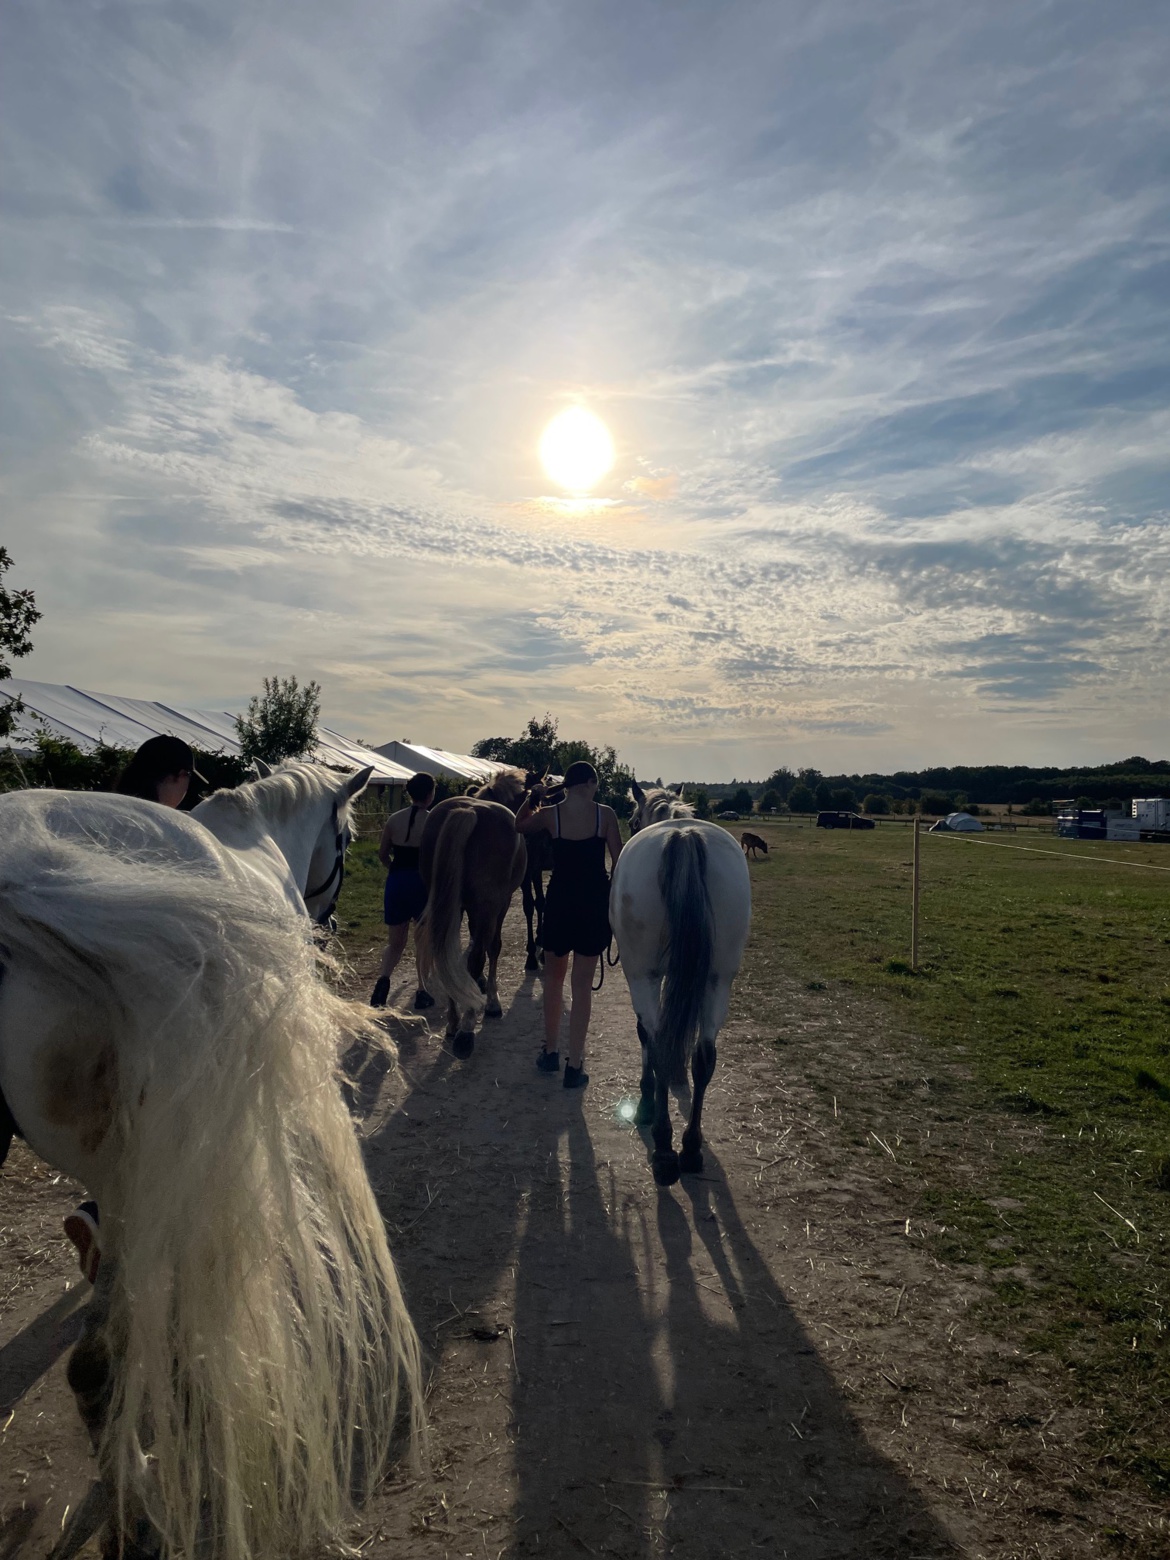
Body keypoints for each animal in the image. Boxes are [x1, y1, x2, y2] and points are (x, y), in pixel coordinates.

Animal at [411, 792, 521, 1060]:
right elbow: (492, 948)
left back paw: (453, 1023)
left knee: (445, 952)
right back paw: (466, 1030)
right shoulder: (500, 903)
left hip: (448, 904)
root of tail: (468, 810)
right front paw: (492, 1000)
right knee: (477, 956)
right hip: (486, 905)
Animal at [614, 792, 751, 1179]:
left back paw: (663, 1145)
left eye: (633, 821)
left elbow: (647, 1037)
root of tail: (684, 836)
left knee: (658, 1041)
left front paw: (647, 1102)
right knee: (704, 1055)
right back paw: (690, 1148)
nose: (632, 827)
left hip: (642, 975)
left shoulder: (646, 976)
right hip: (718, 979)